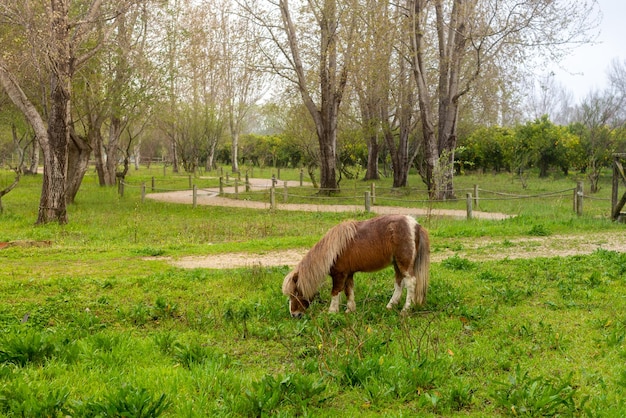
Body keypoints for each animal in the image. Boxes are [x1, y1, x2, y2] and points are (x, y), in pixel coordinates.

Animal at [280, 216, 426, 316]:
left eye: (296, 293)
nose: (294, 314)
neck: (333, 251)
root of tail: (414, 224)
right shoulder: (348, 274)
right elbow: (348, 291)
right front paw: (350, 310)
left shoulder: (339, 275)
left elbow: (335, 292)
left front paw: (332, 312)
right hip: (397, 265)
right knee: (399, 284)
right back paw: (390, 306)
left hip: (404, 264)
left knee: (410, 283)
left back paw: (405, 310)